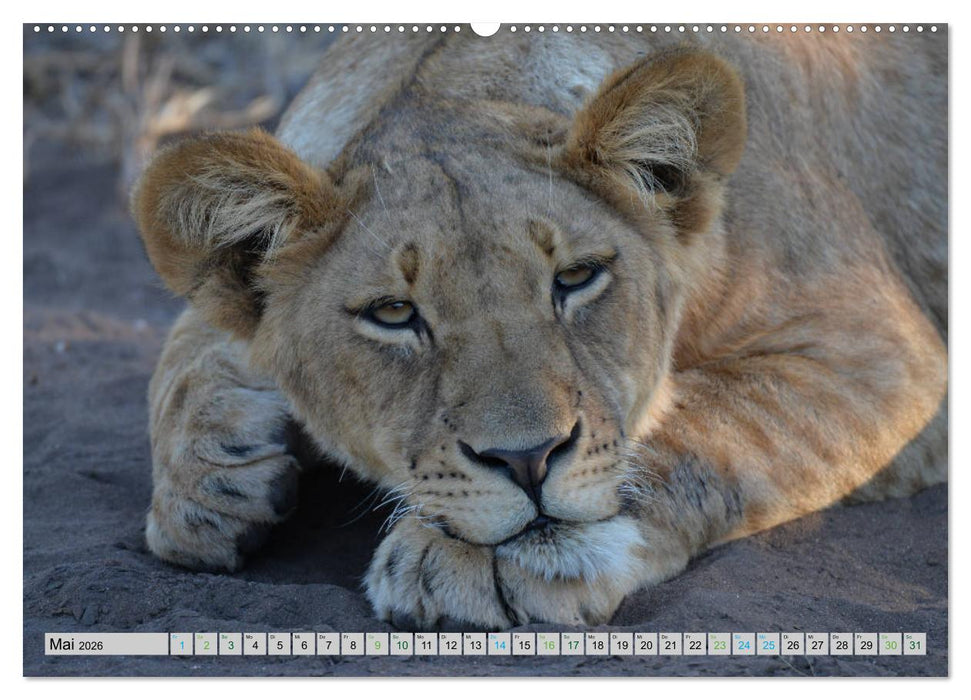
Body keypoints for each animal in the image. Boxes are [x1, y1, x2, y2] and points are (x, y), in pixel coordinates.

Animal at [131, 30, 947, 630]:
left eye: (576, 277)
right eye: (394, 314)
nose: (527, 460)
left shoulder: (884, 351)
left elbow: (712, 424)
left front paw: (471, 562)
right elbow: (183, 355)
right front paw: (206, 486)